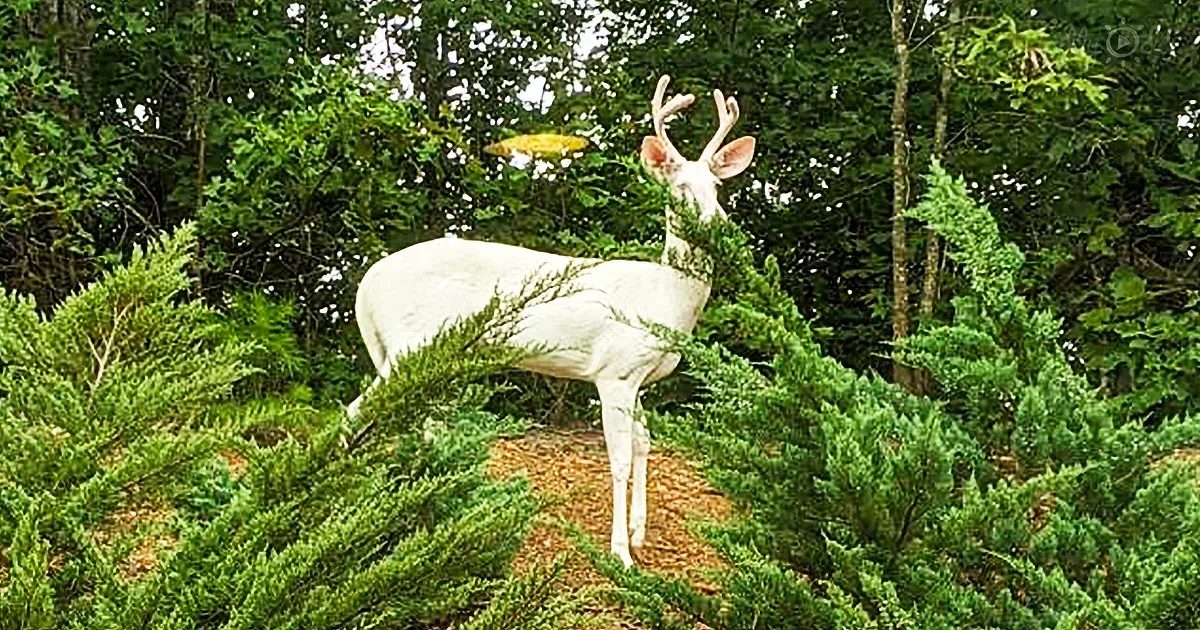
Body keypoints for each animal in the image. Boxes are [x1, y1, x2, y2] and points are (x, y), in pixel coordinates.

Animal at [347, 75, 755, 567]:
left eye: (716, 185)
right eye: (679, 188)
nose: (718, 224)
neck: (663, 299)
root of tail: (367, 285)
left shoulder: (640, 377)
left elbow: (644, 441)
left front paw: (639, 533)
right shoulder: (614, 370)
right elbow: (618, 457)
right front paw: (620, 553)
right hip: (408, 343)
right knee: (356, 410)